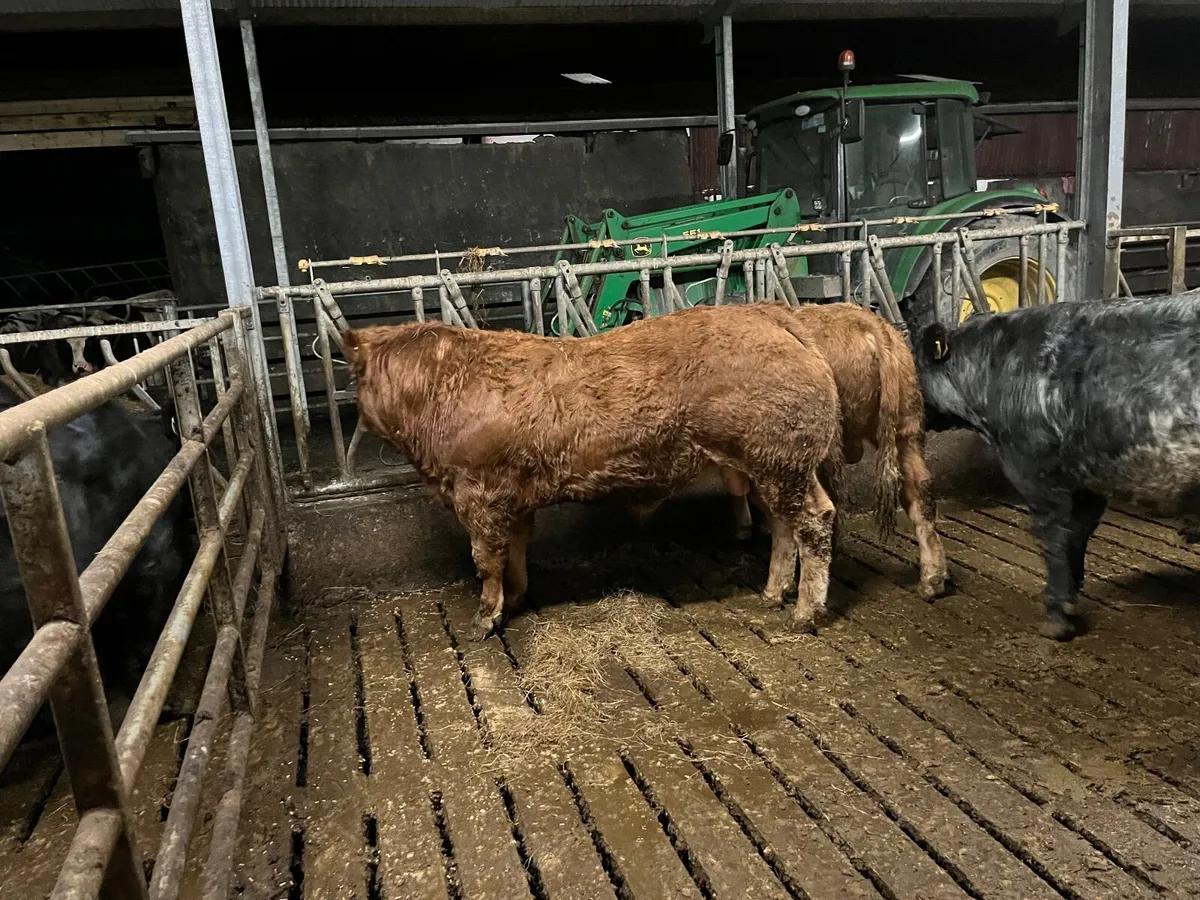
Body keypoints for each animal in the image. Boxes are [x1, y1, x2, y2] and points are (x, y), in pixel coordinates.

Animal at [343, 303, 844, 639]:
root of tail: (771, 316)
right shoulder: (515, 497)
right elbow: (518, 549)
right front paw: (518, 597)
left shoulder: (478, 493)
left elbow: (486, 560)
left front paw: (485, 618)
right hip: (768, 466)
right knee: (783, 527)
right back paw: (772, 594)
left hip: (782, 460)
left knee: (814, 523)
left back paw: (804, 614)